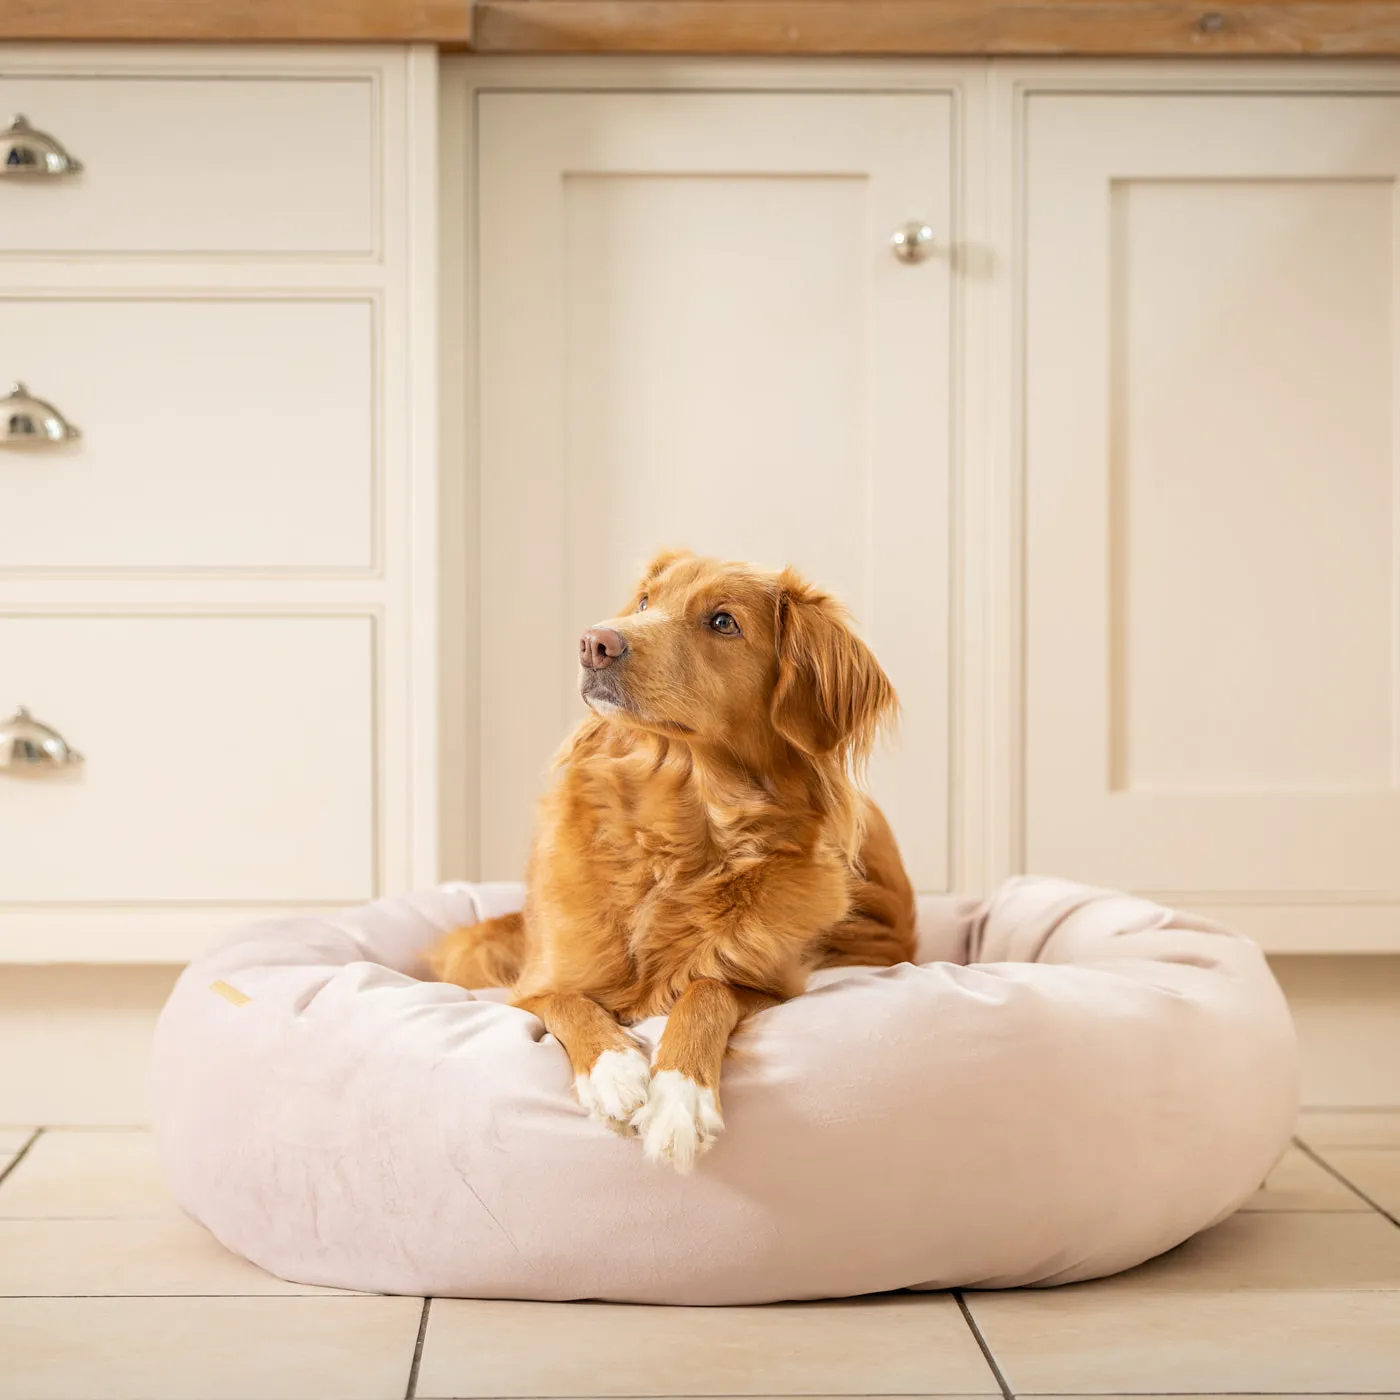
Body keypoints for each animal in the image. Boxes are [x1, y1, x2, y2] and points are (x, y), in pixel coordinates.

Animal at [434, 546, 918, 1170]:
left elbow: (706, 990)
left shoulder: (775, 987)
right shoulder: (532, 987)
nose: (594, 642)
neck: (677, 834)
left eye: (723, 621)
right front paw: (614, 1069)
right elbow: (569, 1000)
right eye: (645, 602)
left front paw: (680, 1096)